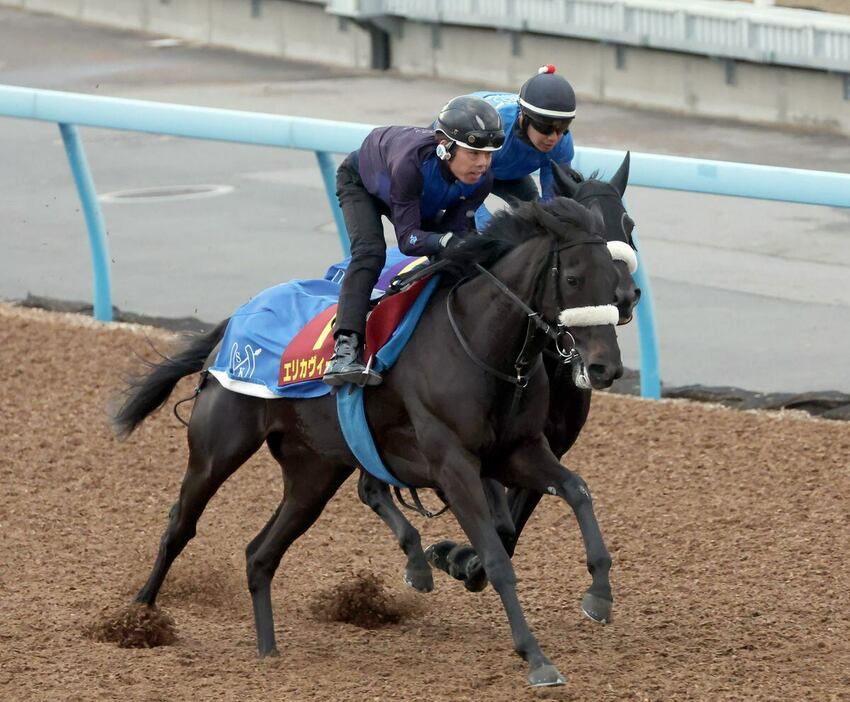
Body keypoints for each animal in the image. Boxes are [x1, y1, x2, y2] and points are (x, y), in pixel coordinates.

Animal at [114, 197, 616, 688]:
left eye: (615, 279)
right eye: (573, 278)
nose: (606, 366)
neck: (479, 343)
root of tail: (235, 322)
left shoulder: (517, 451)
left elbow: (576, 490)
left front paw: (599, 594)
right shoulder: (453, 466)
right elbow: (495, 556)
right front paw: (535, 657)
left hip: (314, 474)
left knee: (260, 554)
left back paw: (268, 651)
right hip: (218, 449)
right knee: (180, 525)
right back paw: (137, 618)